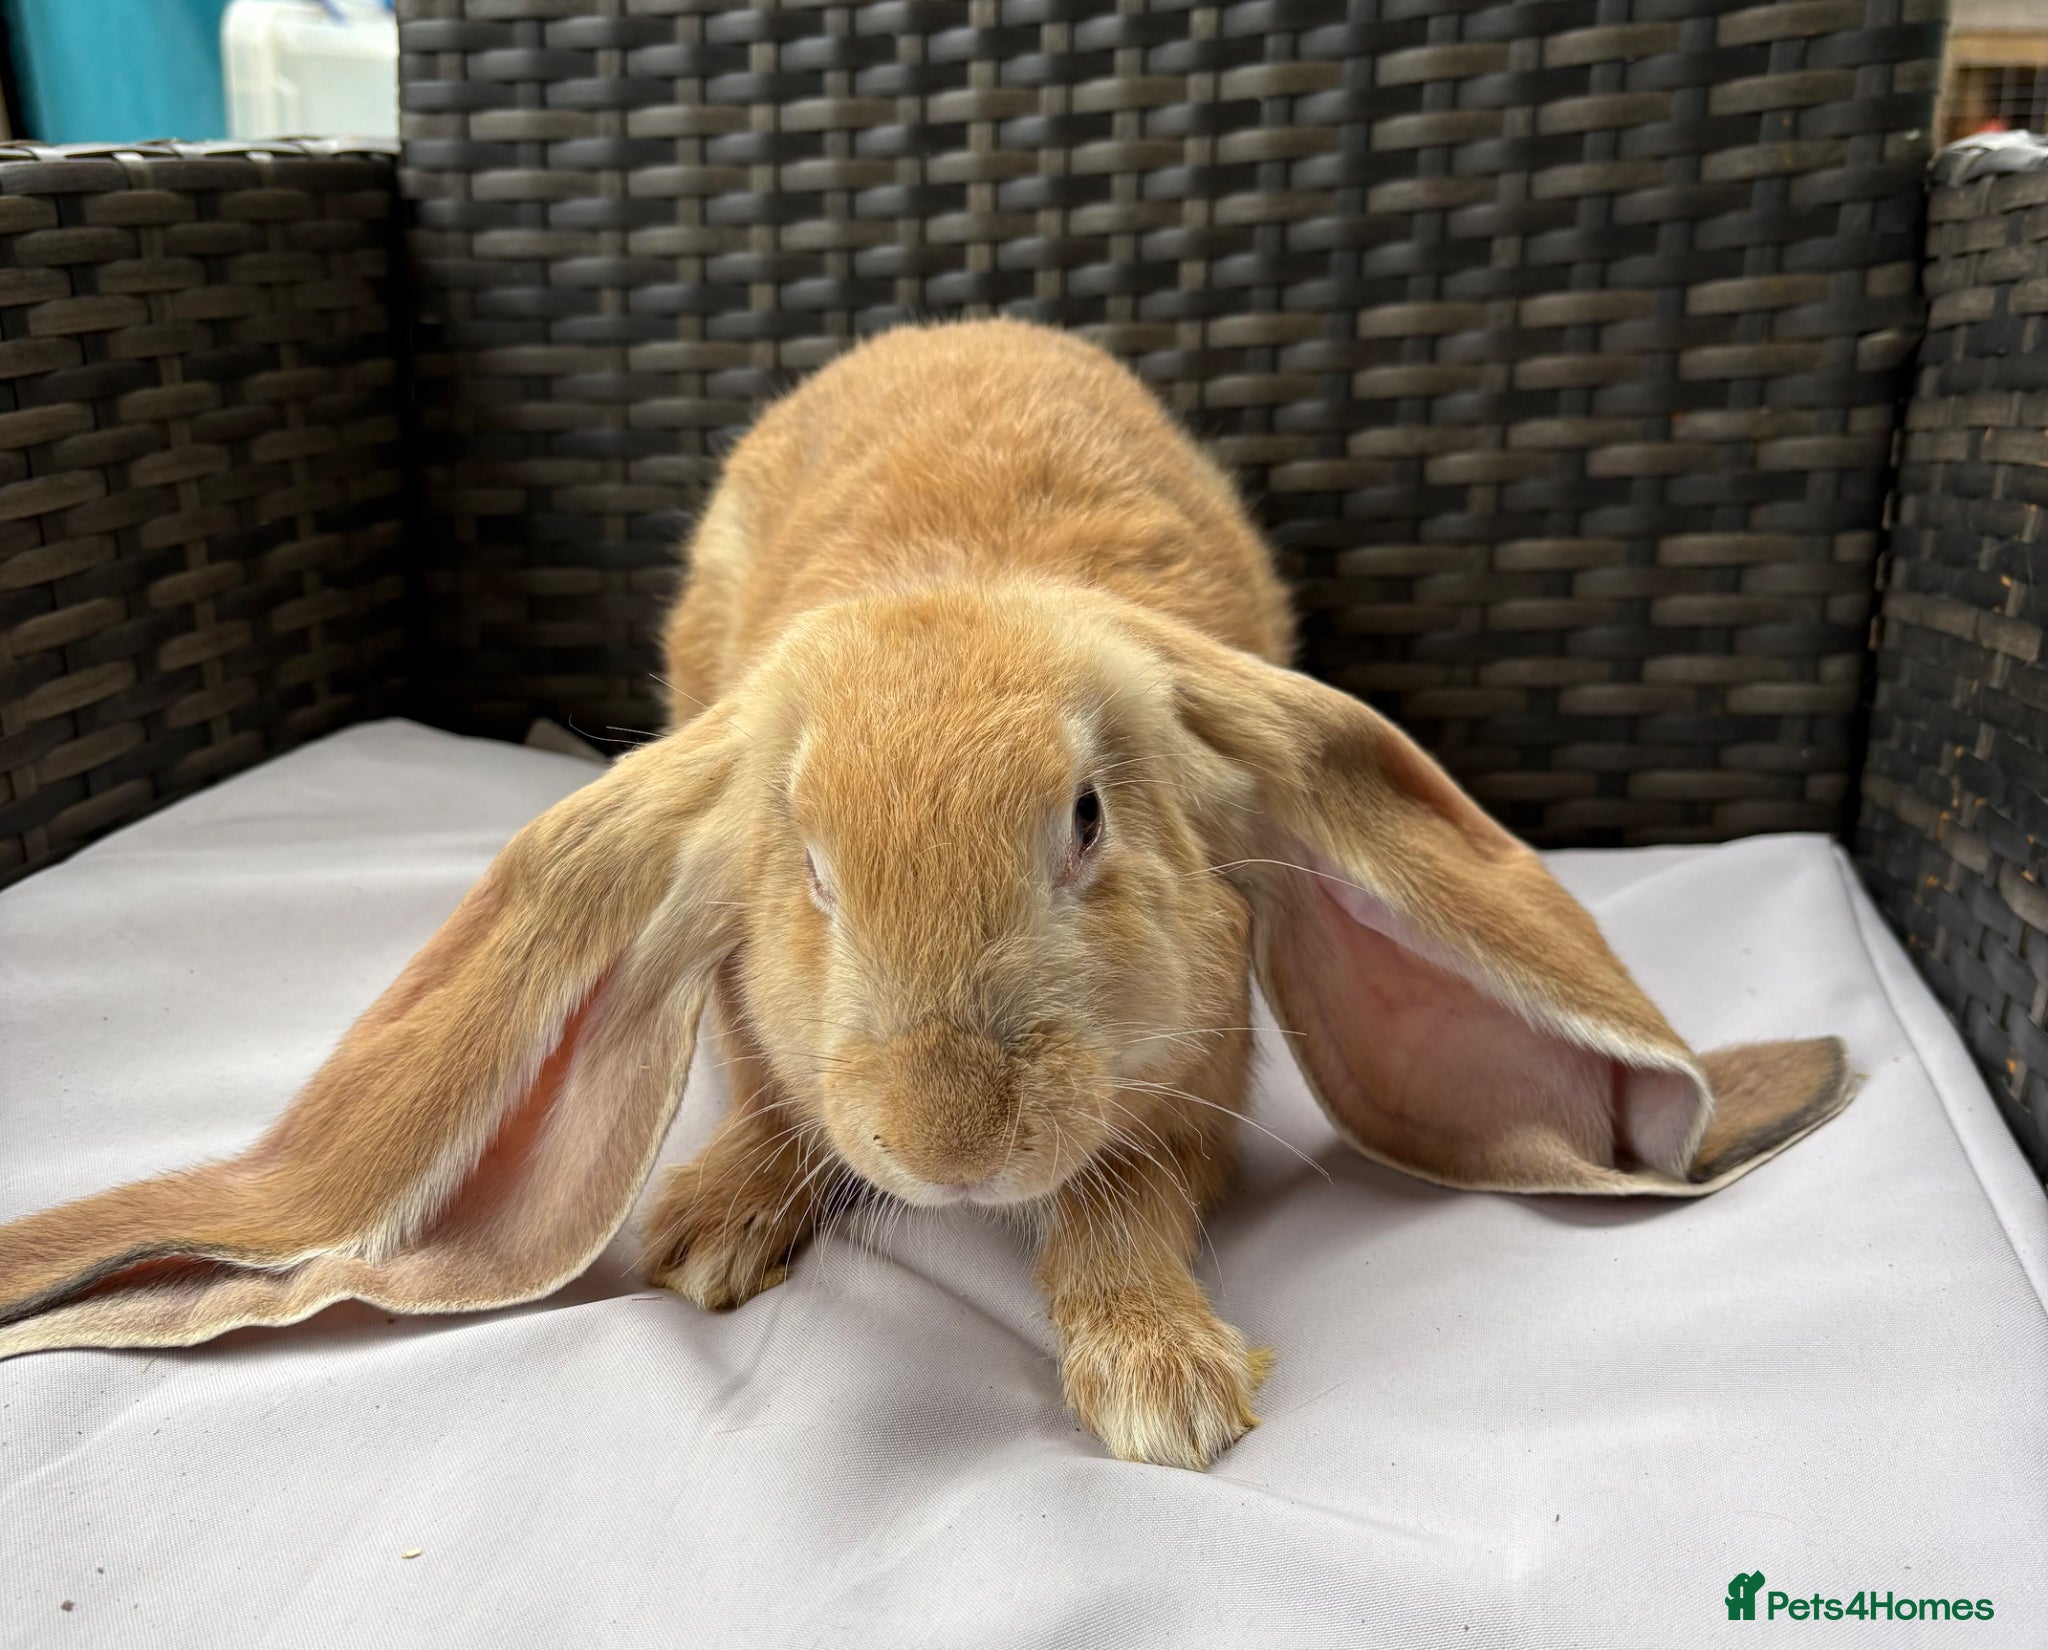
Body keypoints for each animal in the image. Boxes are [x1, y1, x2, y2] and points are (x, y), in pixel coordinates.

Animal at [0, 318, 1855, 1470]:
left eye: (1088, 819)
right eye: (807, 869)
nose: (950, 1136)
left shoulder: (1188, 1076)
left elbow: (1124, 1203)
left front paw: (1160, 1383)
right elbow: (765, 1093)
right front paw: (710, 1230)